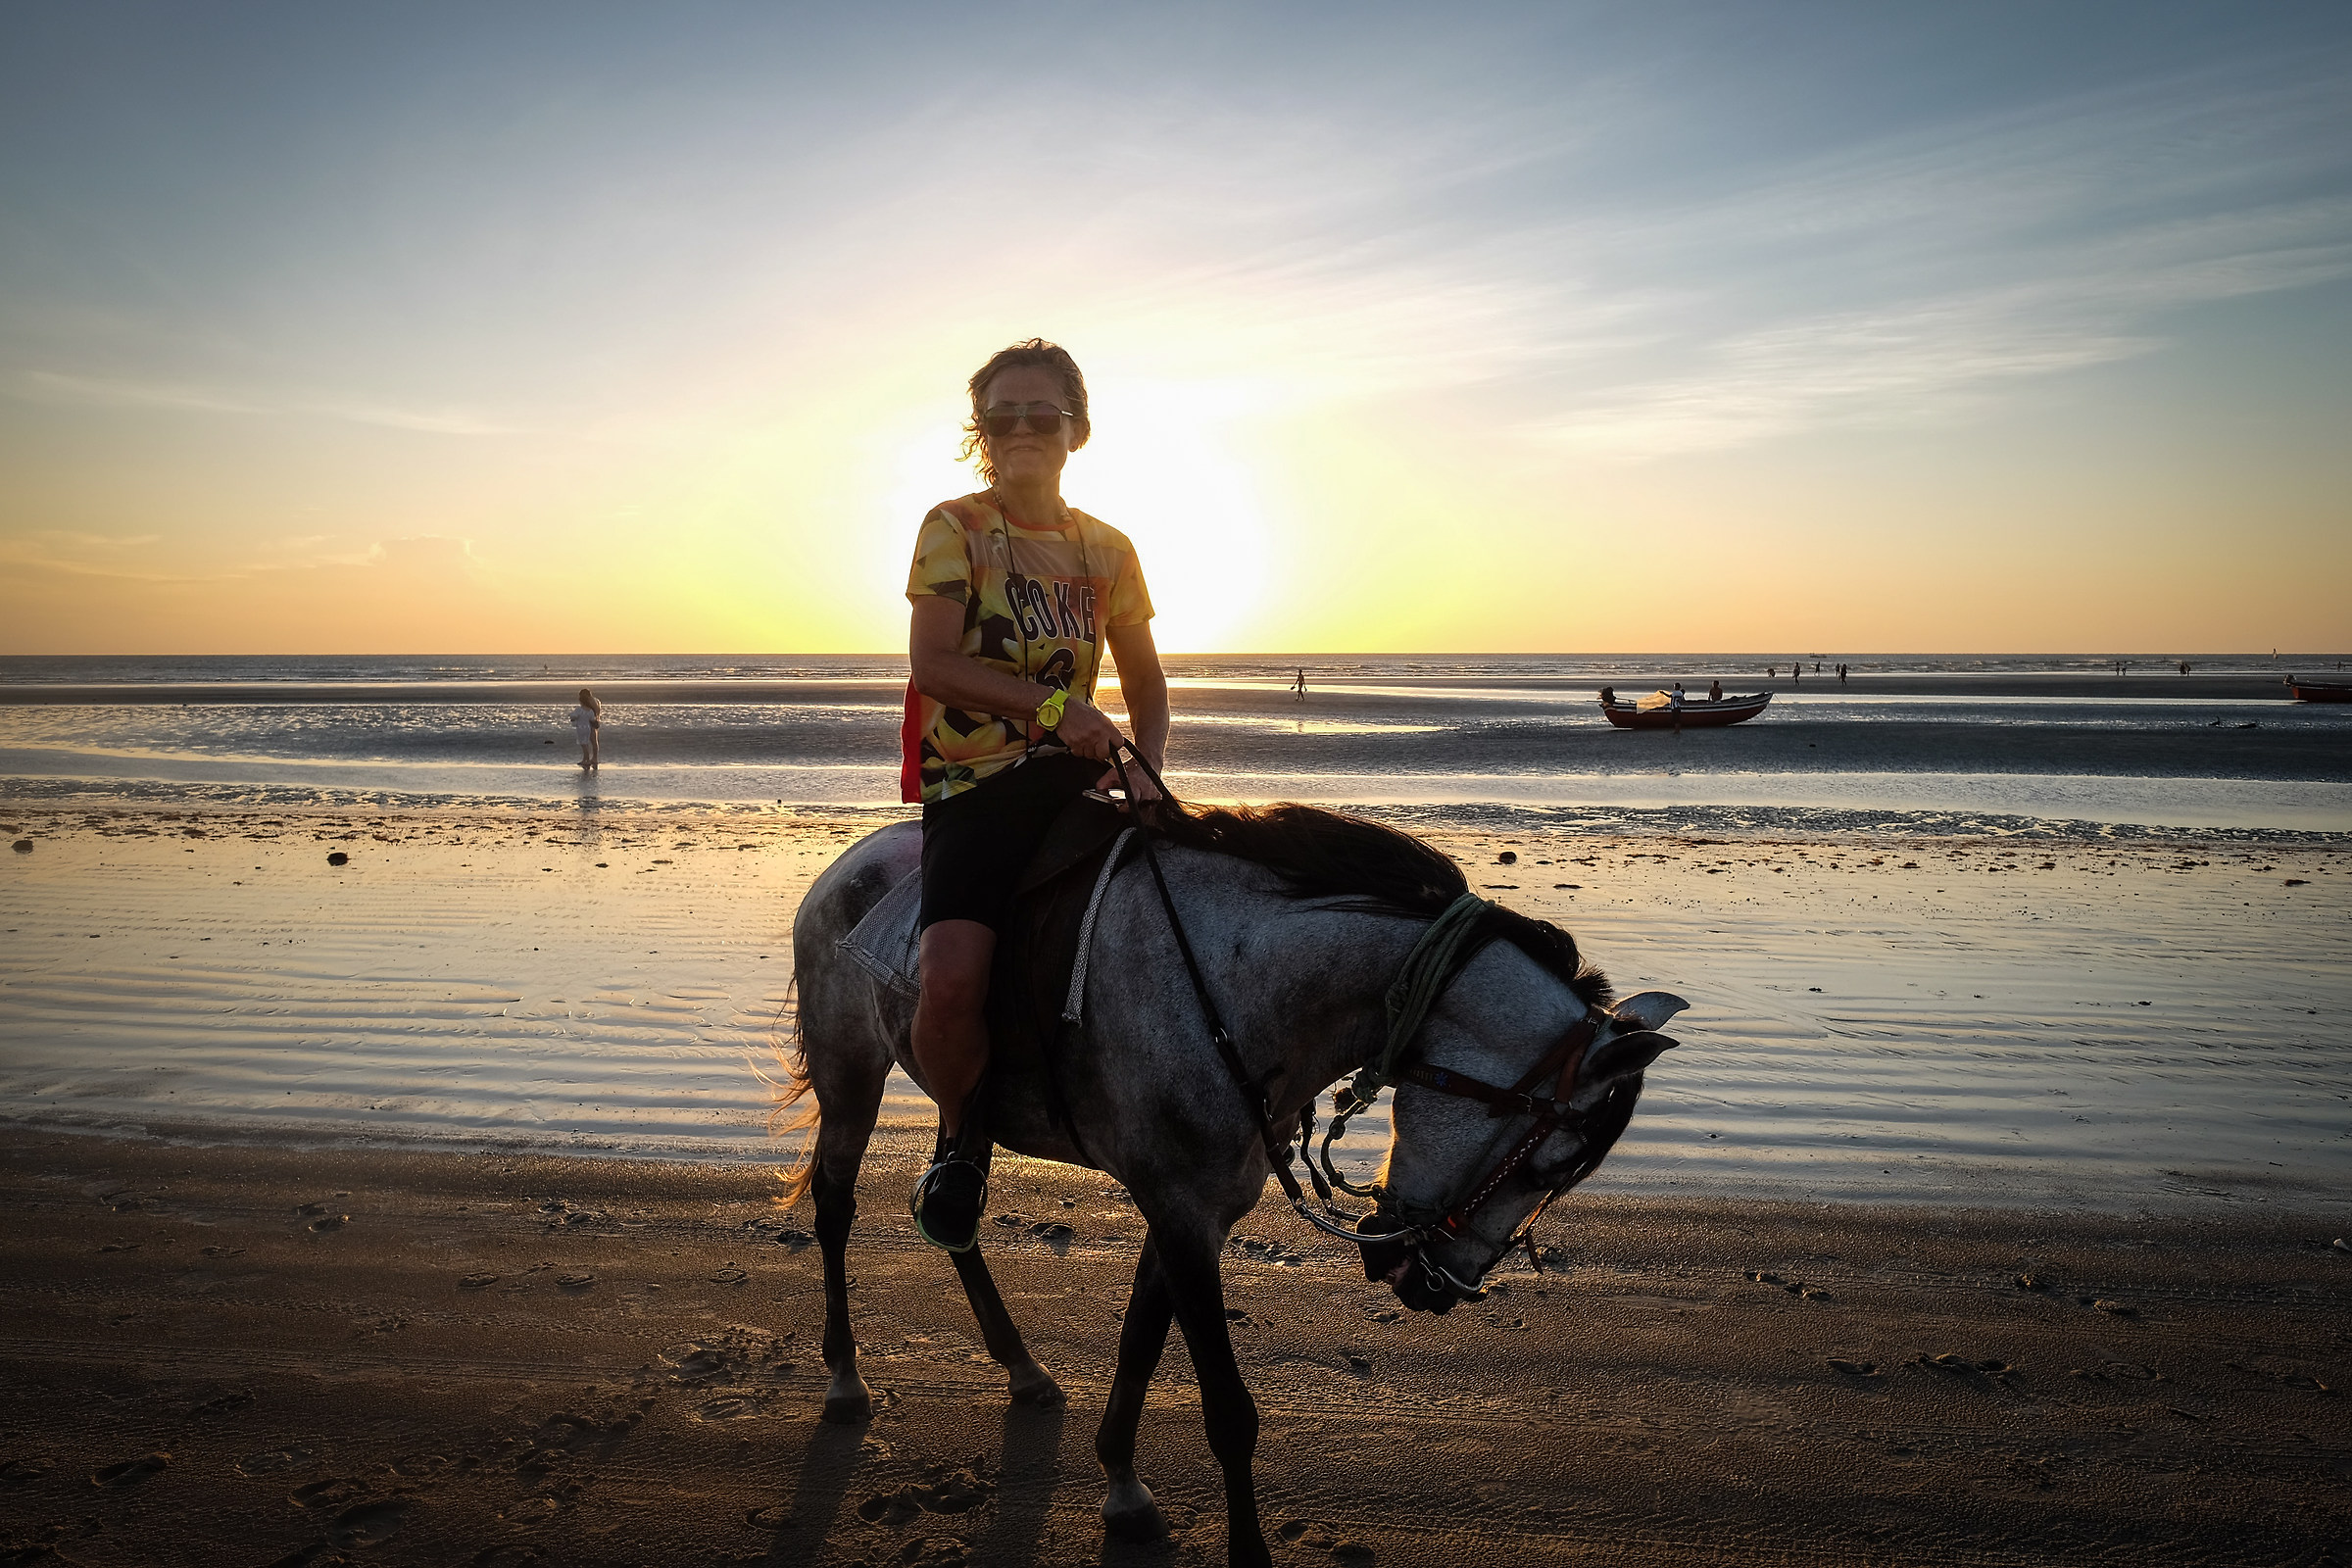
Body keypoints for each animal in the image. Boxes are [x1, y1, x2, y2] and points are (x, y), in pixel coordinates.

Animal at [780, 808, 1684, 1568]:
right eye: (1550, 1166)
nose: (1440, 1287)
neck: (1243, 985)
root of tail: (852, 859)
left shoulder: (1192, 1212)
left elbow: (1140, 1344)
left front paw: (1122, 1487)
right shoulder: (1180, 1213)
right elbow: (1227, 1411)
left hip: (956, 1102)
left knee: (951, 1216)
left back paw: (1024, 1368)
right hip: (850, 1071)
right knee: (835, 1207)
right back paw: (845, 1378)